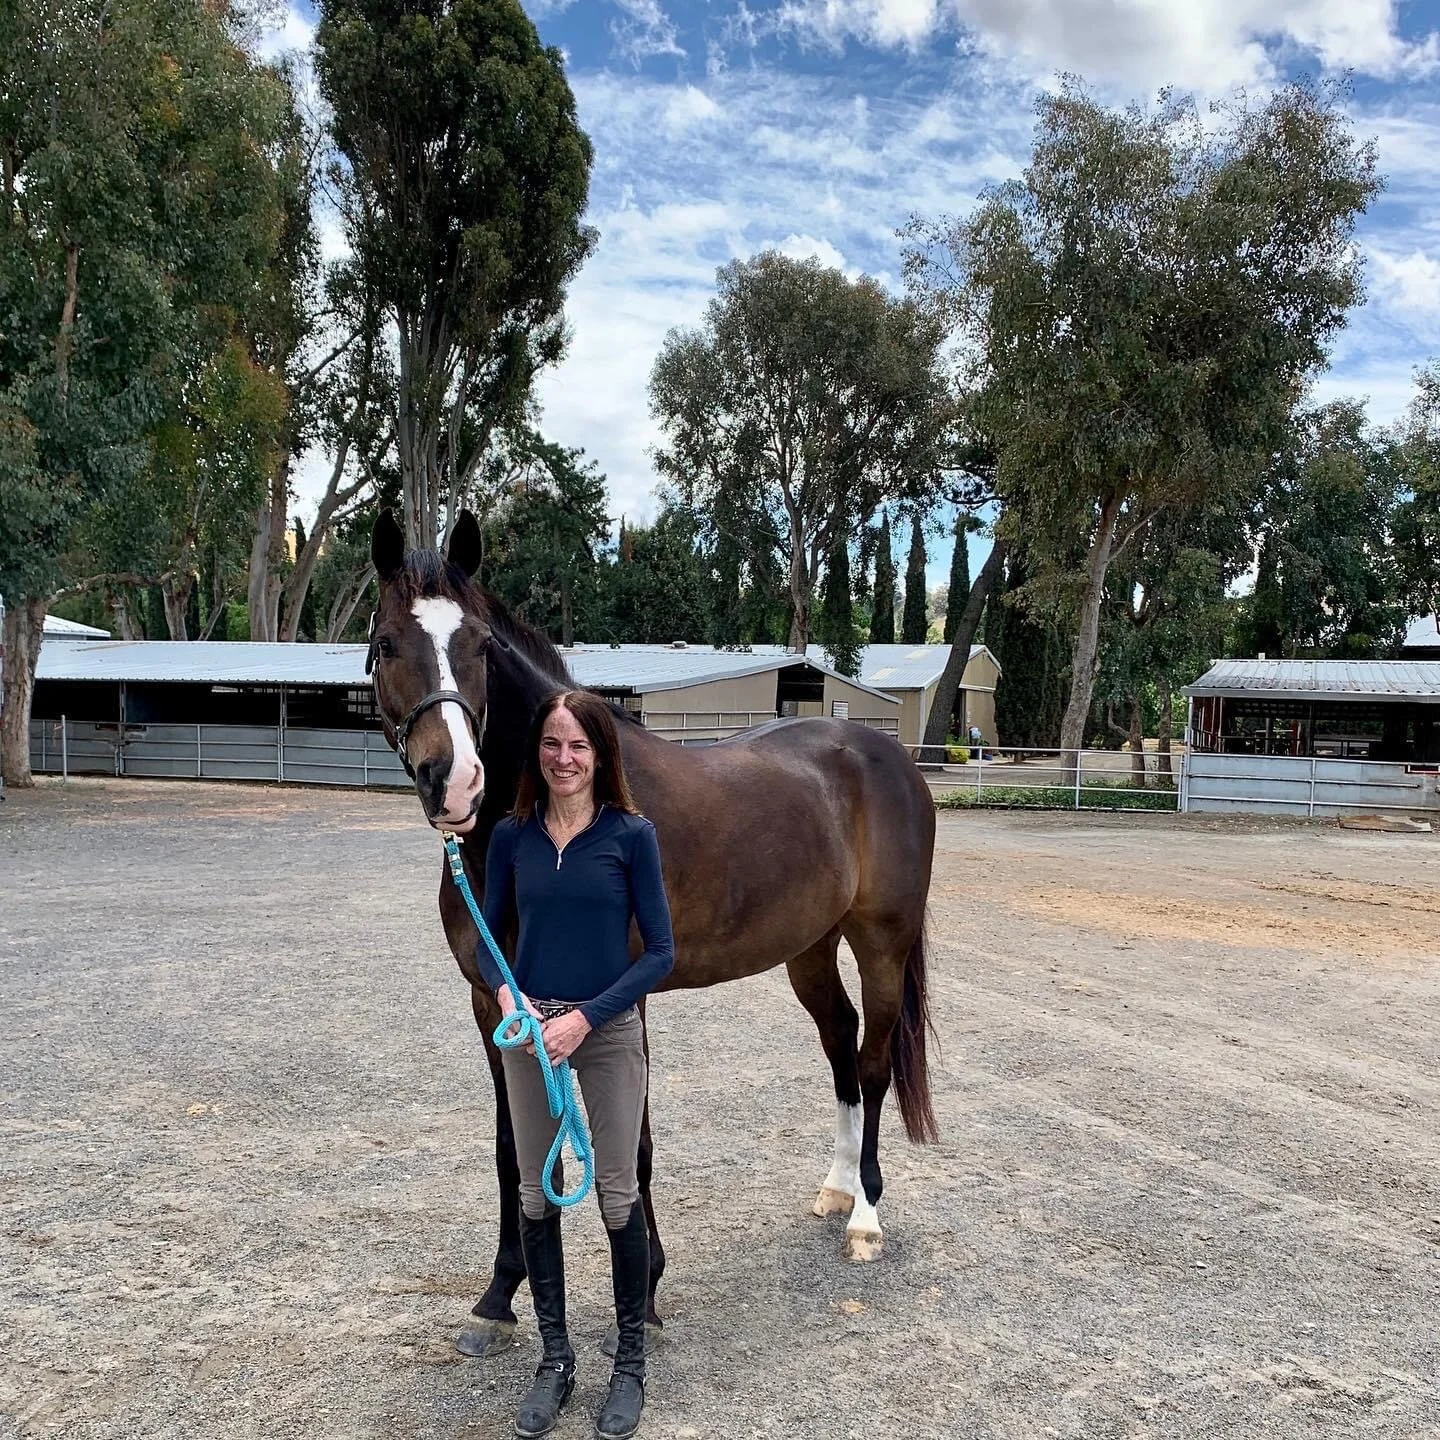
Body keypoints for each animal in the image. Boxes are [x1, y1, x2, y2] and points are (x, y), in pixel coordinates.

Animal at [366, 508, 938, 1358]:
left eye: (479, 646)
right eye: (386, 643)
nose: (455, 781)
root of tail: (883, 752)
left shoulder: (618, 999)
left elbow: (628, 1142)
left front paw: (647, 1288)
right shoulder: (496, 1004)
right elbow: (513, 1146)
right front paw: (499, 1296)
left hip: (881, 943)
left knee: (869, 1064)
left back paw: (865, 1218)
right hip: (809, 946)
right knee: (839, 1043)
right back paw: (836, 1189)